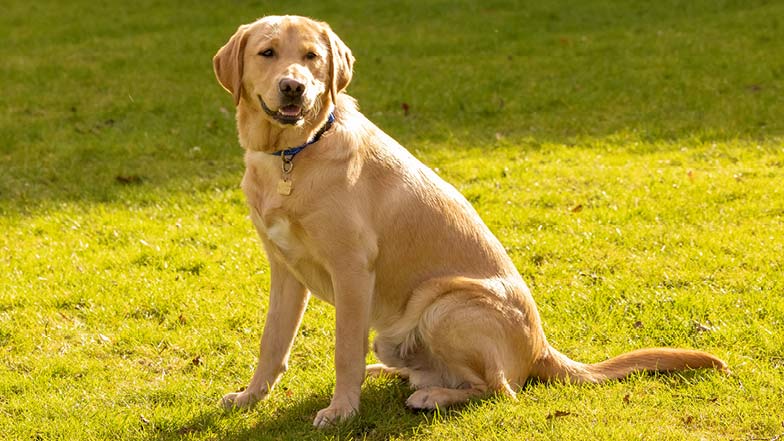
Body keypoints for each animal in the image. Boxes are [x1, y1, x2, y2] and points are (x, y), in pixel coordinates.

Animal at [212, 15, 727, 428]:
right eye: (267, 53)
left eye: (312, 57)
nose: (293, 86)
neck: (293, 155)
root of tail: (541, 348)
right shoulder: (284, 271)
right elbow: (272, 344)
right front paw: (251, 397)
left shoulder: (352, 270)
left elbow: (343, 351)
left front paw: (341, 411)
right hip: (398, 332)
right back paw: (398, 375)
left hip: (444, 304)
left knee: (500, 390)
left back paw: (432, 396)